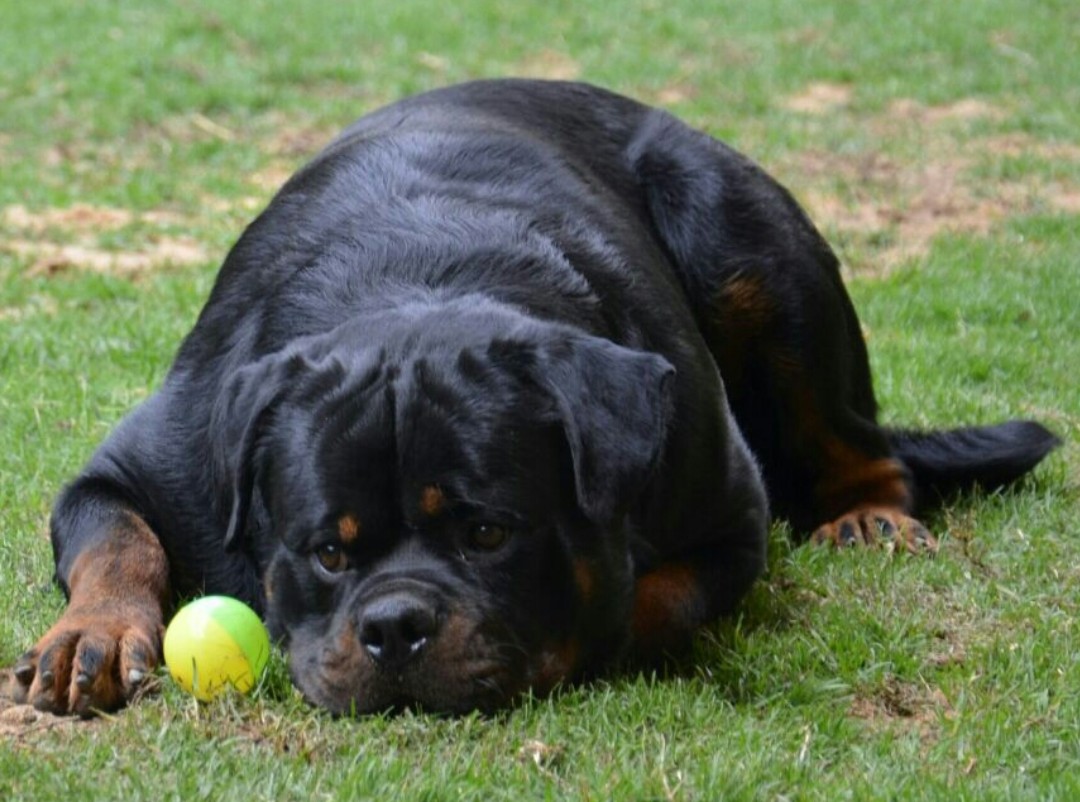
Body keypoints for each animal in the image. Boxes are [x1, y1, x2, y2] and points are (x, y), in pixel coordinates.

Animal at [8, 79, 1058, 716]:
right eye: (326, 553)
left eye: (488, 534)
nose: (394, 627)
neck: (415, 285)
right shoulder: (160, 457)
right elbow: (117, 536)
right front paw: (91, 634)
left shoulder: (726, 508)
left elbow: (643, 600)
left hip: (754, 250)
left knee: (857, 438)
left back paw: (869, 516)